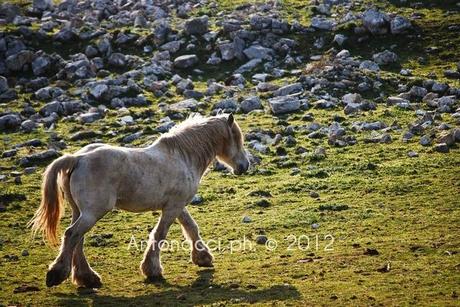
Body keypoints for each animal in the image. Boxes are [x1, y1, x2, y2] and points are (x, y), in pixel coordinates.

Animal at [29, 113, 250, 288]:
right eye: (237, 139)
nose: (244, 166)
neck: (183, 157)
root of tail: (78, 158)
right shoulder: (173, 207)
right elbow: (160, 234)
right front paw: (152, 270)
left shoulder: (177, 206)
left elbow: (191, 227)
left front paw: (203, 258)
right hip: (92, 213)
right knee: (71, 235)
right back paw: (57, 274)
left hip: (80, 212)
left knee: (77, 239)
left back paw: (87, 278)